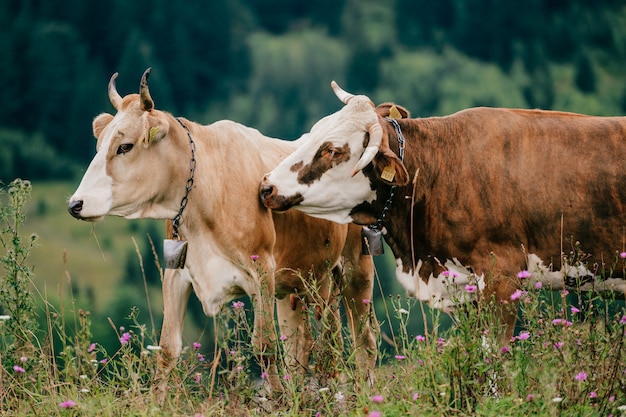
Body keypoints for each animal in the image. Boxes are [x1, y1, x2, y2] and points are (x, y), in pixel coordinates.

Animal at [67, 70, 376, 394]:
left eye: (125, 146)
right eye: (99, 146)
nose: (76, 204)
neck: (207, 189)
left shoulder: (262, 270)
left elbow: (264, 346)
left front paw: (278, 399)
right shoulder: (176, 273)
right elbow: (168, 349)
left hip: (353, 270)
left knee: (356, 340)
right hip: (298, 284)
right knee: (304, 343)